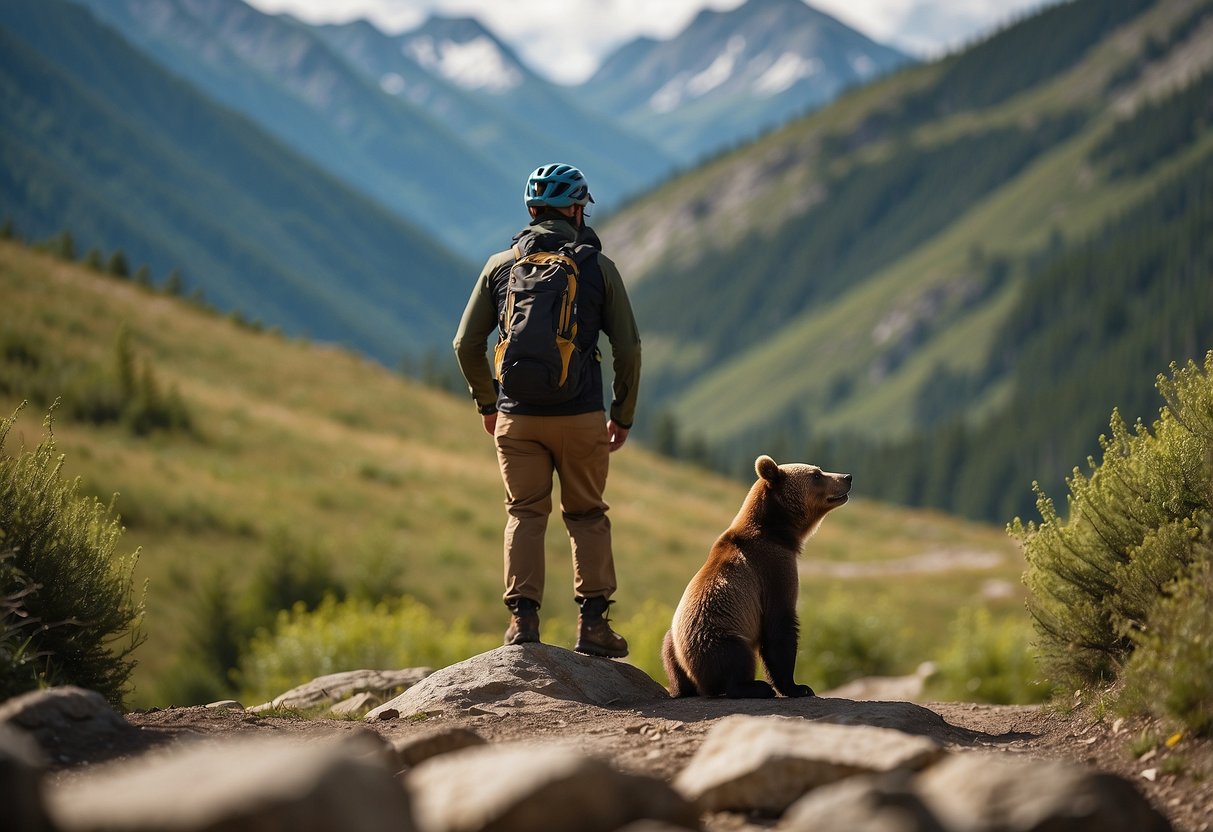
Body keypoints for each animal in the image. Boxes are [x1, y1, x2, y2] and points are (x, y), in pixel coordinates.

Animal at [659, 456, 849, 698]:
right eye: (816, 475)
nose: (847, 477)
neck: (777, 531)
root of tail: (692, 673)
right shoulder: (773, 567)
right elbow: (779, 625)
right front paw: (797, 687)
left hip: (673, 644)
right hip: (720, 636)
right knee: (735, 660)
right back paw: (756, 686)